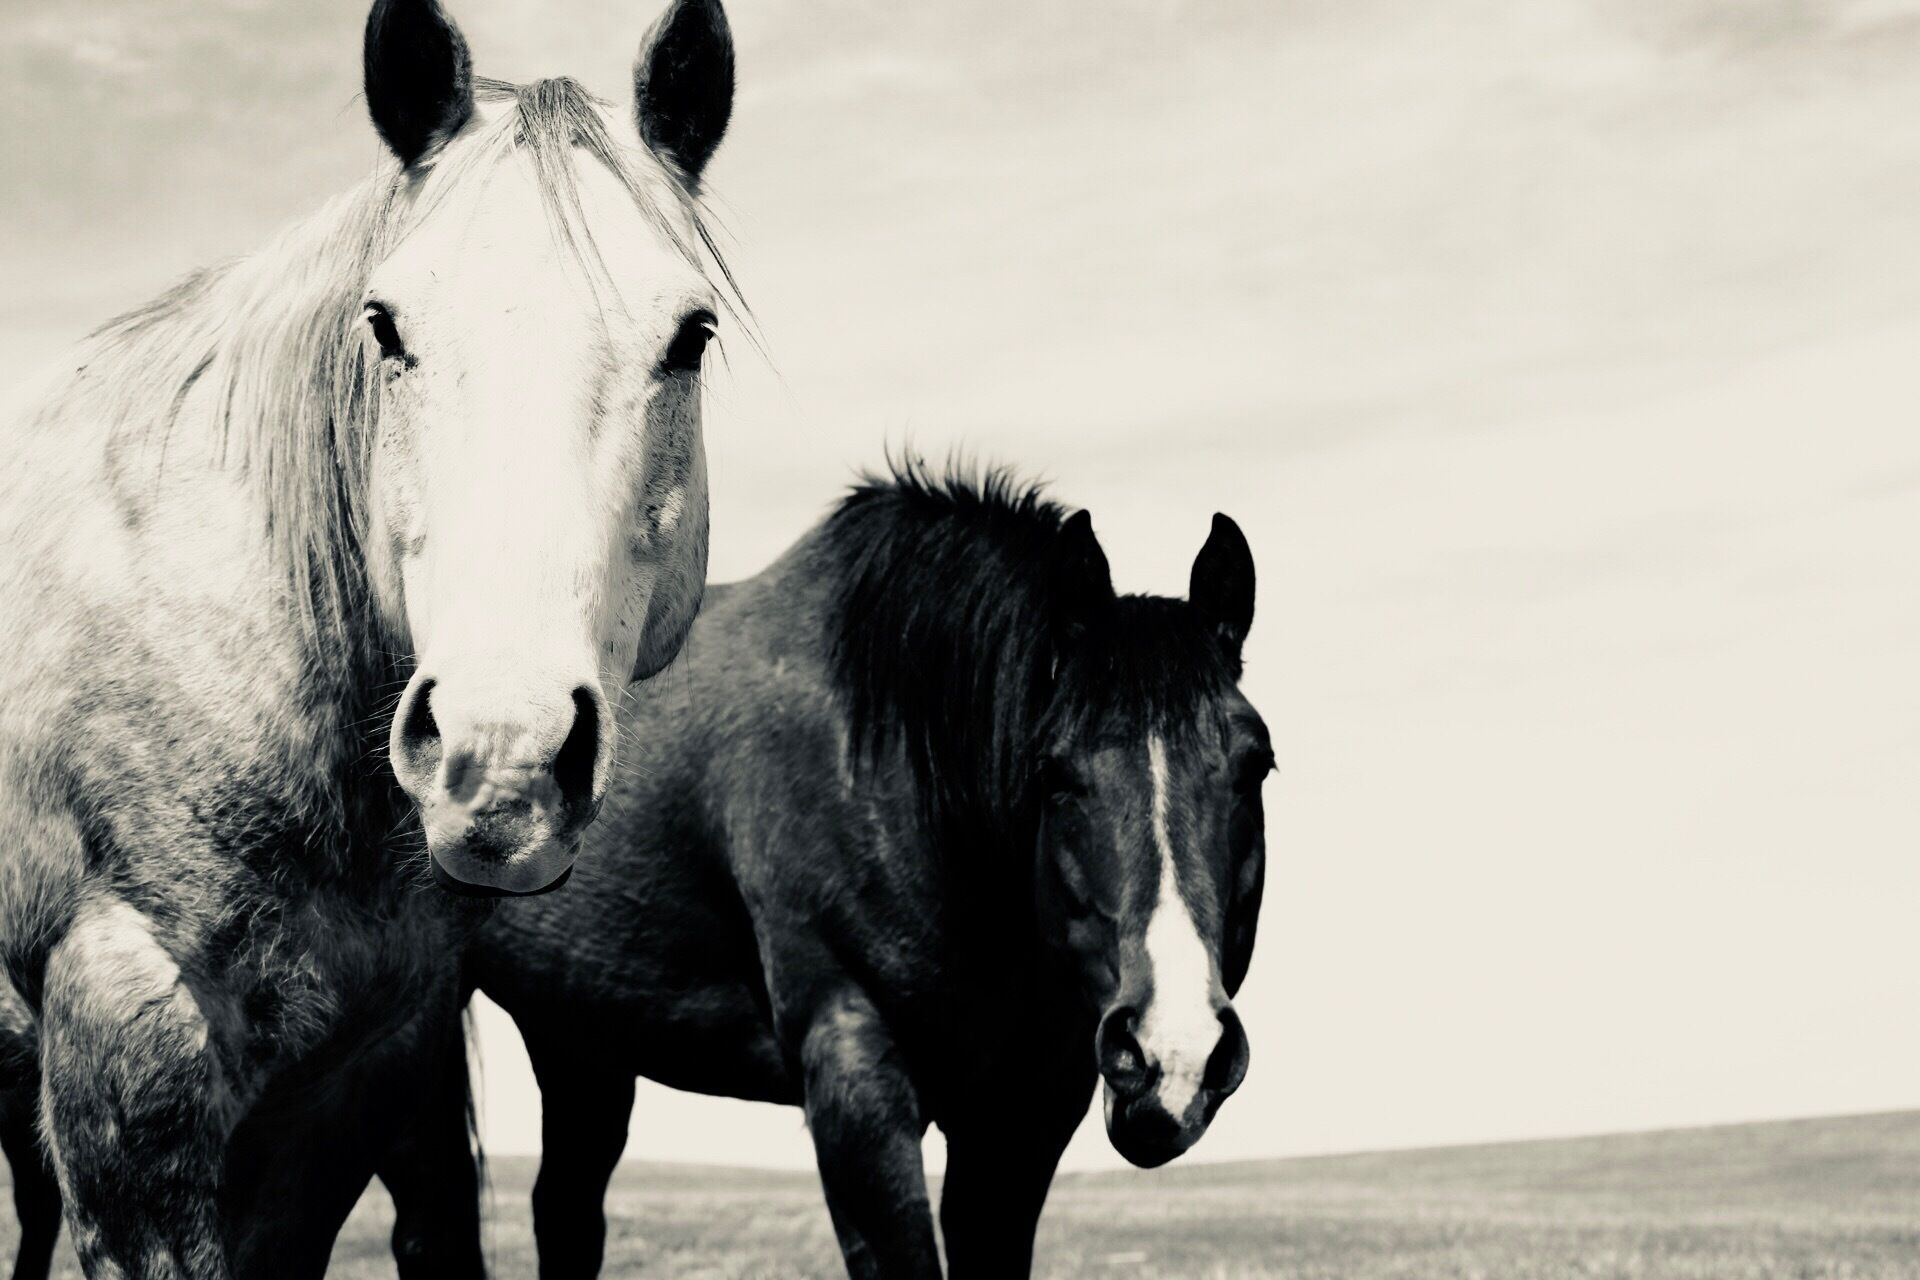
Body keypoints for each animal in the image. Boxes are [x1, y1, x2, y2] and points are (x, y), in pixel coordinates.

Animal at [379, 462, 1274, 1279]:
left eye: (1255, 763)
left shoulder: (1021, 1115)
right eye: (1053, 772)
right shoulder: (855, 1088)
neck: (898, 763)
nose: (1173, 1052)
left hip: (579, 1034)